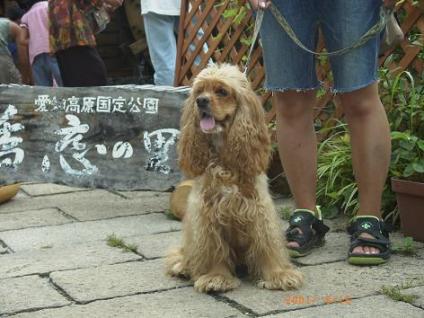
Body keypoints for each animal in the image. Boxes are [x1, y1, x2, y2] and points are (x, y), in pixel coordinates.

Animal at [165, 63, 302, 292]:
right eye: (199, 91)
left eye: (222, 91)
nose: (200, 101)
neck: (224, 158)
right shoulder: (207, 215)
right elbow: (213, 249)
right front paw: (216, 277)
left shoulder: (258, 210)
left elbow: (266, 245)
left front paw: (278, 274)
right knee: (185, 252)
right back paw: (183, 267)